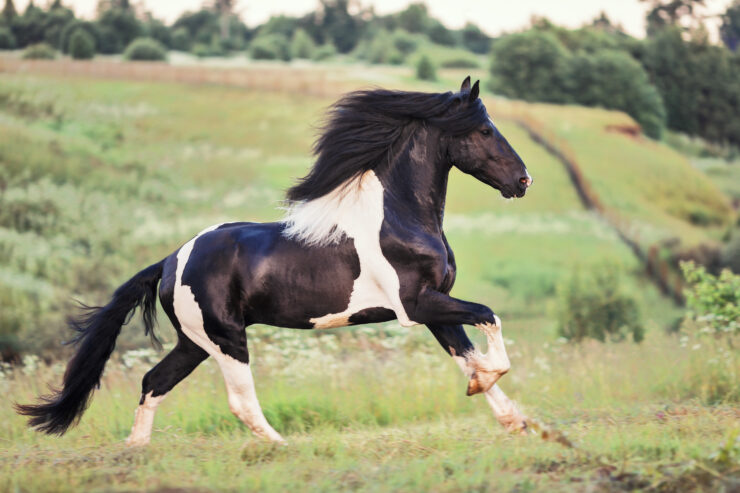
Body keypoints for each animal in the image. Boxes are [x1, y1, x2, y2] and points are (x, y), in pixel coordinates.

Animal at [18, 78, 532, 446]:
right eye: (485, 130)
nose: (523, 180)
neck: (400, 217)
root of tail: (168, 262)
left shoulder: (435, 306)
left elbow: (467, 356)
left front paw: (512, 419)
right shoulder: (417, 305)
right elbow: (490, 319)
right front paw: (490, 385)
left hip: (194, 342)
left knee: (153, 381)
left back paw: (136, 450)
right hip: (226, 339)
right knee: (239, 401)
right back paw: (280, 445)